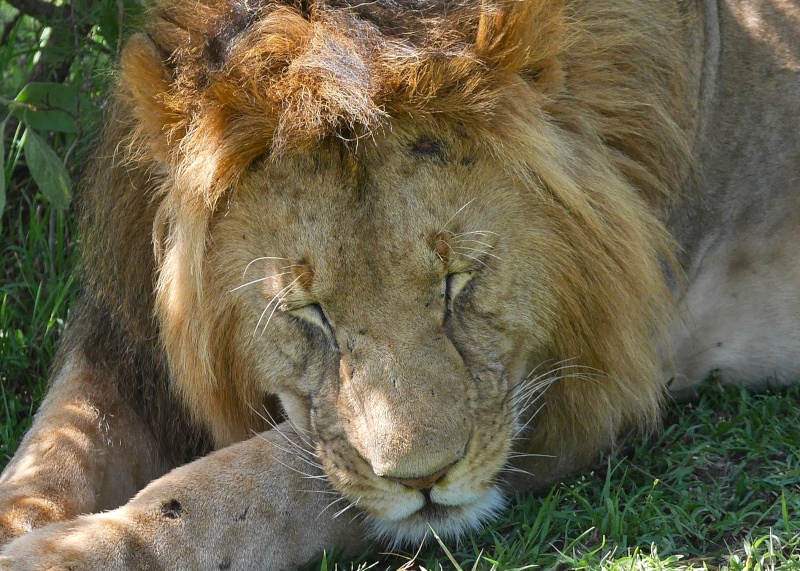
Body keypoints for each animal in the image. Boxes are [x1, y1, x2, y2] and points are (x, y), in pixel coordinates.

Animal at [1, 0, 800, 568]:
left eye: (457, 282)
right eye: (309, 311)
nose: (424, 482)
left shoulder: (578, 391)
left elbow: (246, 488)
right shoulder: (124, 336)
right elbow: (53, 449)